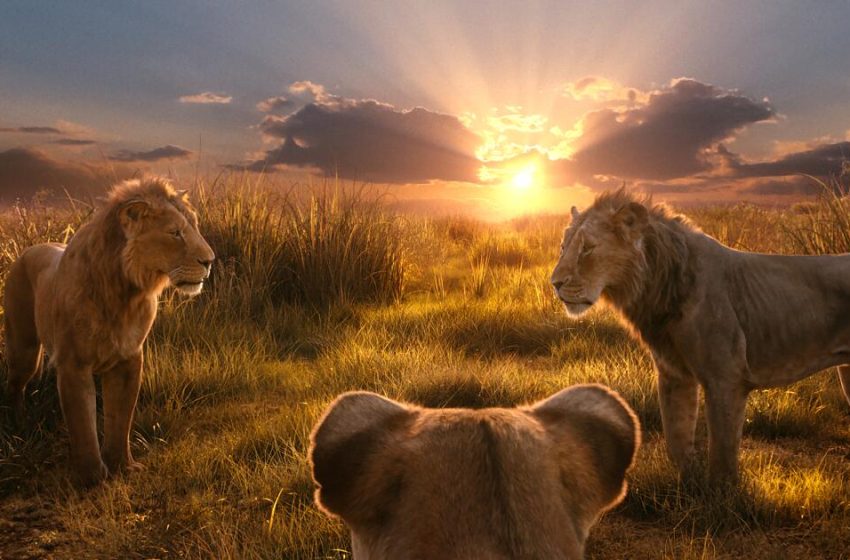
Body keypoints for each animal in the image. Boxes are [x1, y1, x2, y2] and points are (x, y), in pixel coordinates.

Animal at [4, 177, 214, 486]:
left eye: (194, 227)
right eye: (175, 232)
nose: (210, 261)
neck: (125, 293)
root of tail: (29, 249)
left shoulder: (128, 359)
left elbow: (120, 418)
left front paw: (122, 466)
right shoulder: (73, 364)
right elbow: (83, 424)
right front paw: (92, 477)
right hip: (24, 349)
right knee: (15, 385)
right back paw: (18, 425)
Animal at [550, 188, 850, 483]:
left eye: (587, 248)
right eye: (564, 247)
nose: (554, 283)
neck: (658, 286)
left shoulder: (725, 378)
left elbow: (722, 454)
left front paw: (722, 493)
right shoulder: (673, 374)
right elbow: (677, 439)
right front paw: (688, 482)